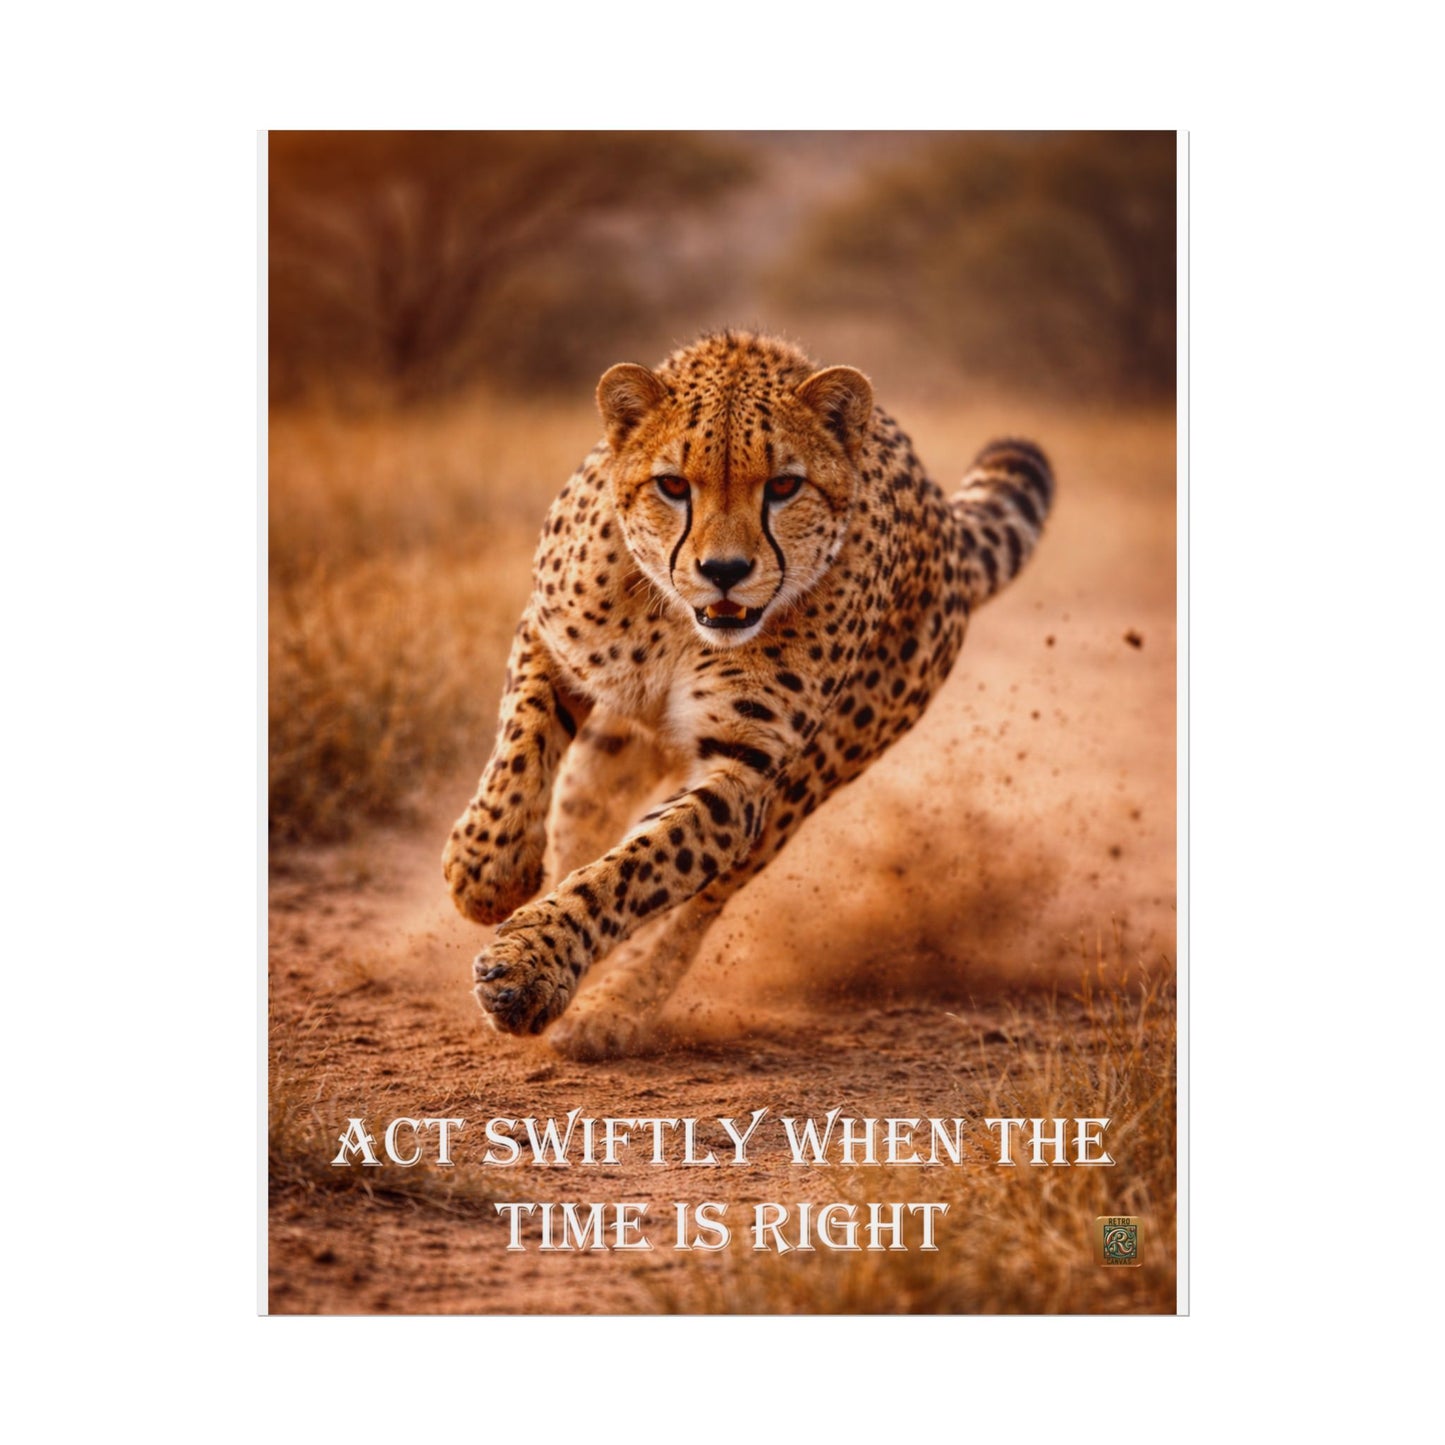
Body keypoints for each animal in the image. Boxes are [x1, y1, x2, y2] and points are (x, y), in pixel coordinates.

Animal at [442, 330, 1054, 1060]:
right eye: (673, 485)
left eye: (784, 486)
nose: (725, 571)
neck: (677, 621)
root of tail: (942, 518)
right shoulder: (552, 636)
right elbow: (520, 746)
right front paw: (487, 871)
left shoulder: (746, 767)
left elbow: (640, 866)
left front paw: (532, 963)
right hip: (616, 751)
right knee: (579, 818)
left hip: (811, 776)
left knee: (699, 905)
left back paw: (614, 1006)